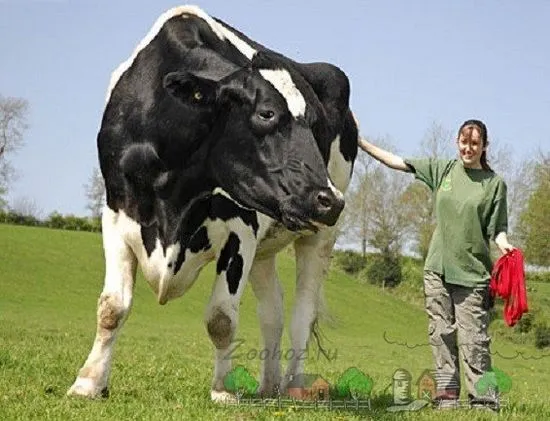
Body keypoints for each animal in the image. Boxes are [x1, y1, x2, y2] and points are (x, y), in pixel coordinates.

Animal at [68, 5, 358, 400]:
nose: (329, 200)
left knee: (302, 314)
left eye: (317, 126)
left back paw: (294, 386)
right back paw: (267, 388)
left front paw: (222, 390)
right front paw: (88, 382)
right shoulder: (116, 211)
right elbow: (112, 307)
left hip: (319, 238)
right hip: (266, 248)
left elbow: (221, 318)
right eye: (266, 113)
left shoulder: (242, 228)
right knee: (273, 309)